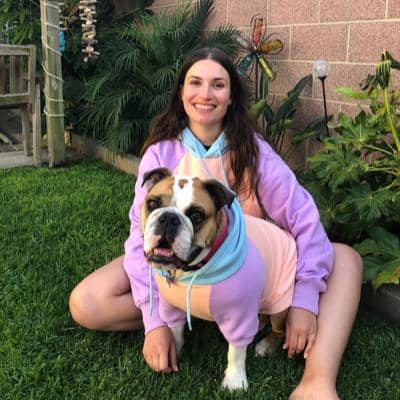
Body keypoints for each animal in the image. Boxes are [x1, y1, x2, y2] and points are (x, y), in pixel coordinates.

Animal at [141, 167, 297, 391]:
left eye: (196, 215)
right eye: (153, 204)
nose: (169, 218)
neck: (192, 270)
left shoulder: (239, 314)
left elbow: (236, 353)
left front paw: (235, 381)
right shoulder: (171, 305)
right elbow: (175, 329)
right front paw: (172, 350)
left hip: (280, 307)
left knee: (280, 330)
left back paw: (266, 344)